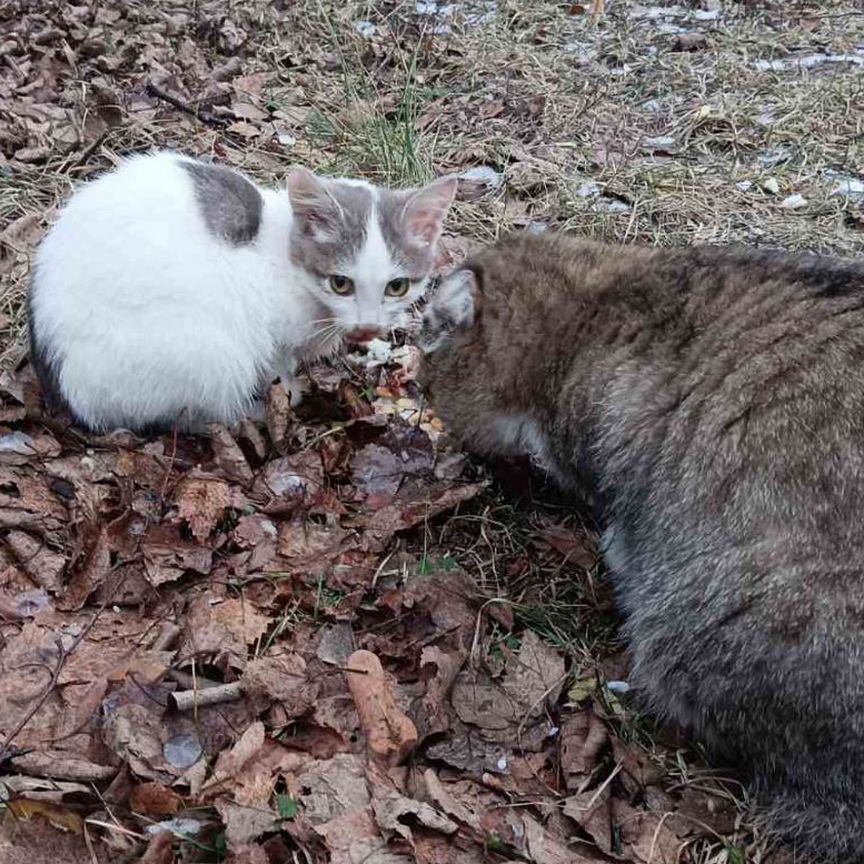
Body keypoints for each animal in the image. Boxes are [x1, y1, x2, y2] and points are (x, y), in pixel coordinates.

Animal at [29, 150, 456, 432]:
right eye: (341, 283)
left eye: (397, 286)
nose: (368, 326)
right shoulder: (272, 335)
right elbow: (277, 367)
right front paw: (288, 394)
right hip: (208, 353)